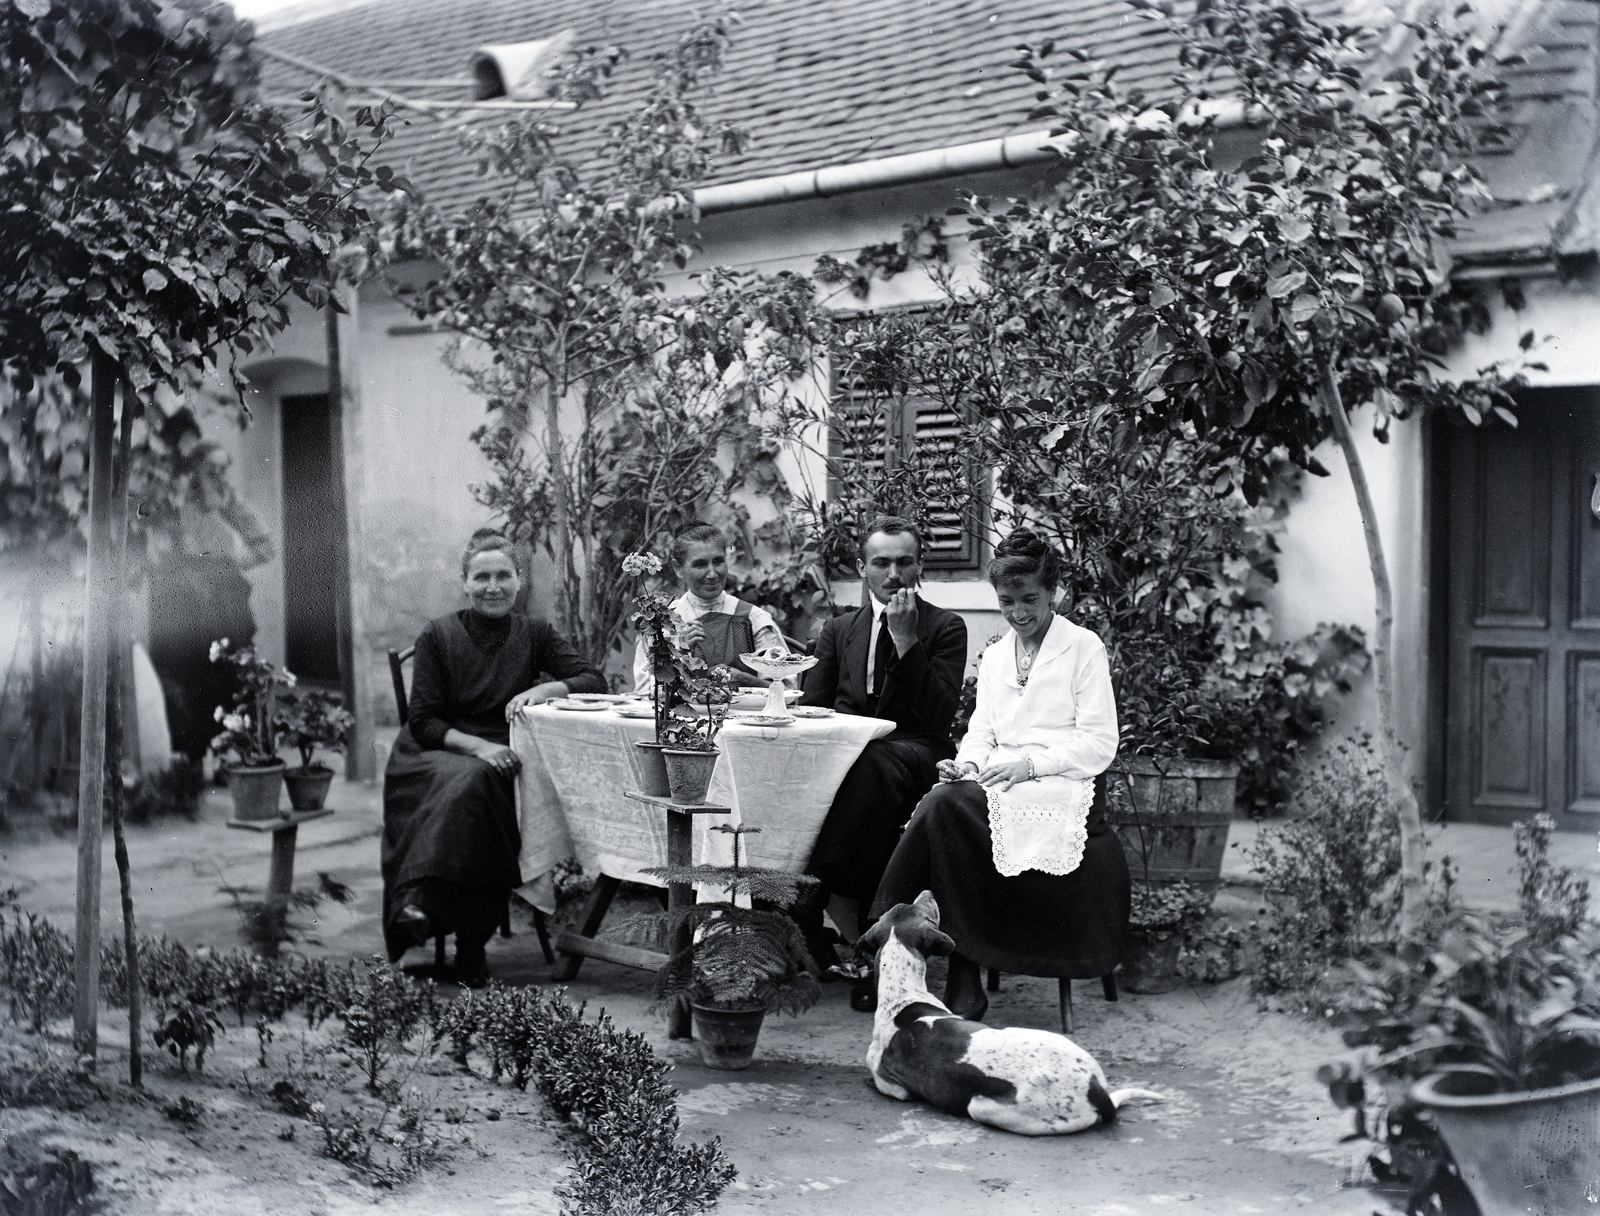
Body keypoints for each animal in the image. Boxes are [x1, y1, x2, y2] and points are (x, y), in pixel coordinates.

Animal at [851, 889, 1164, 1132]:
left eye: (923, 911)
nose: (929, 891)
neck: (902, 996)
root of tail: (1097, 1092)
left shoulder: (893, 1086)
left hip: (980, 1106)